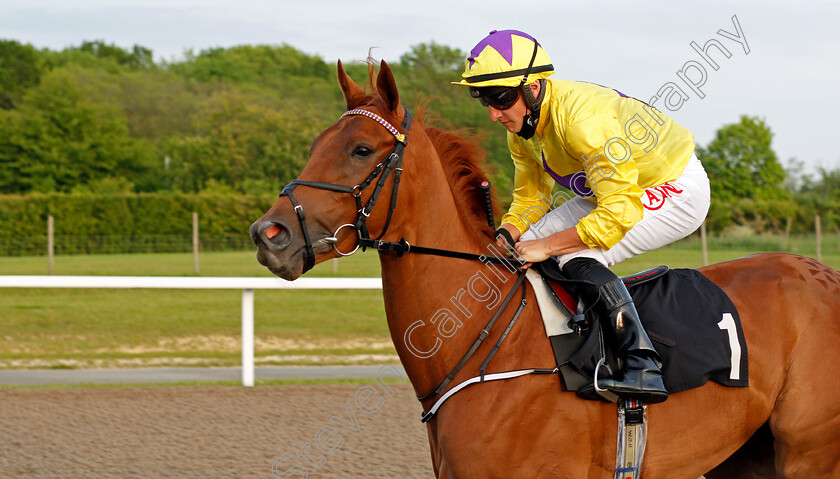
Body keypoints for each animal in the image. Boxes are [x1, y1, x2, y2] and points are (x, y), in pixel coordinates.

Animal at [249, 61, 840, 479]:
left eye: (361, 149)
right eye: (315, 146)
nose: (267, 234)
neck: (486, 344)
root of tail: (822, 273)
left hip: (809, 452)